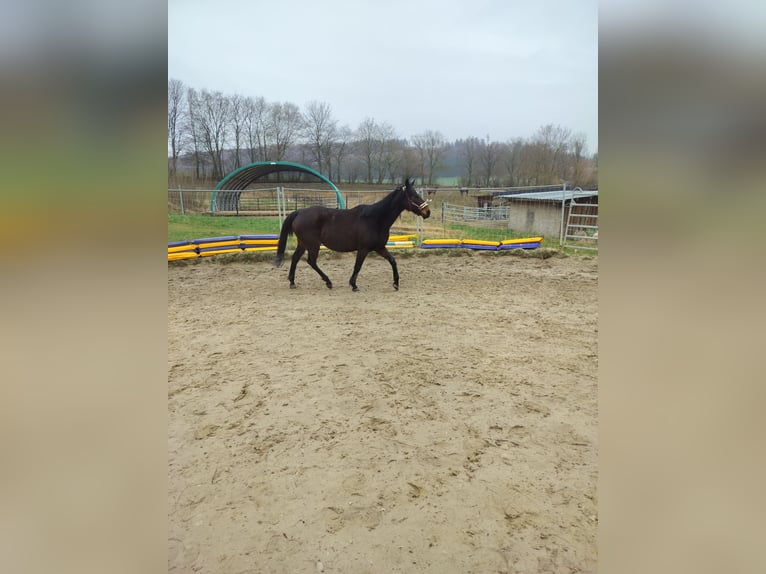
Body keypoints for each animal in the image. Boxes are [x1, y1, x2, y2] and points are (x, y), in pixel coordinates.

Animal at [274, 179, 431, 291]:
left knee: (295, 258)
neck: (375, 219)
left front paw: (396, 283)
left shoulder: (379, 247)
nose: (427, 212)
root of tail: (299, 212)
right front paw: (353, 285)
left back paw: (292, 282)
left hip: (303, 243)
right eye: (413, 196)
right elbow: (358, 266)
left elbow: (393, 261)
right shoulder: (363, 249)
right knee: (311, 261)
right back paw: (328, 282)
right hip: (313, 245)